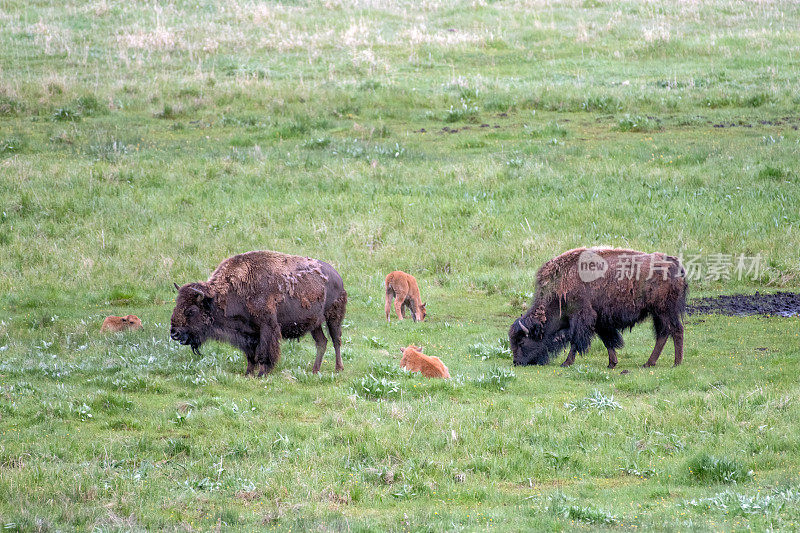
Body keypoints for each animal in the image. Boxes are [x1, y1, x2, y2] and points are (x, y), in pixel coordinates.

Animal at [170, 251, 346, 376]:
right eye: (177, 305)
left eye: (191, 310)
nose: (174, 333)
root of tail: (337, 276)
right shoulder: (249, 333)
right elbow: (251, 356)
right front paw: (248, 373)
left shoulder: (267, 328)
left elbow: (263, 353)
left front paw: (262, 374)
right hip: (315, 324)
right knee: (322, 342)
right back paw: (315, 370)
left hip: (333, 318)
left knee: (336, 340)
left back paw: (338, 369)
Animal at [512, 247, 688, 368]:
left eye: (521, 342)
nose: (516, 362)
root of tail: (674, 263)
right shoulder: (600, 321)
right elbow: (608, 341)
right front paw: (612, 363)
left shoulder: (582, 317)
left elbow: (576, 341)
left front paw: (566, 363)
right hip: (657, 313)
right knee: (663, 333)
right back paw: (649, 363)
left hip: (664, 310)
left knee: (675, 330)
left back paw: (676, 363)